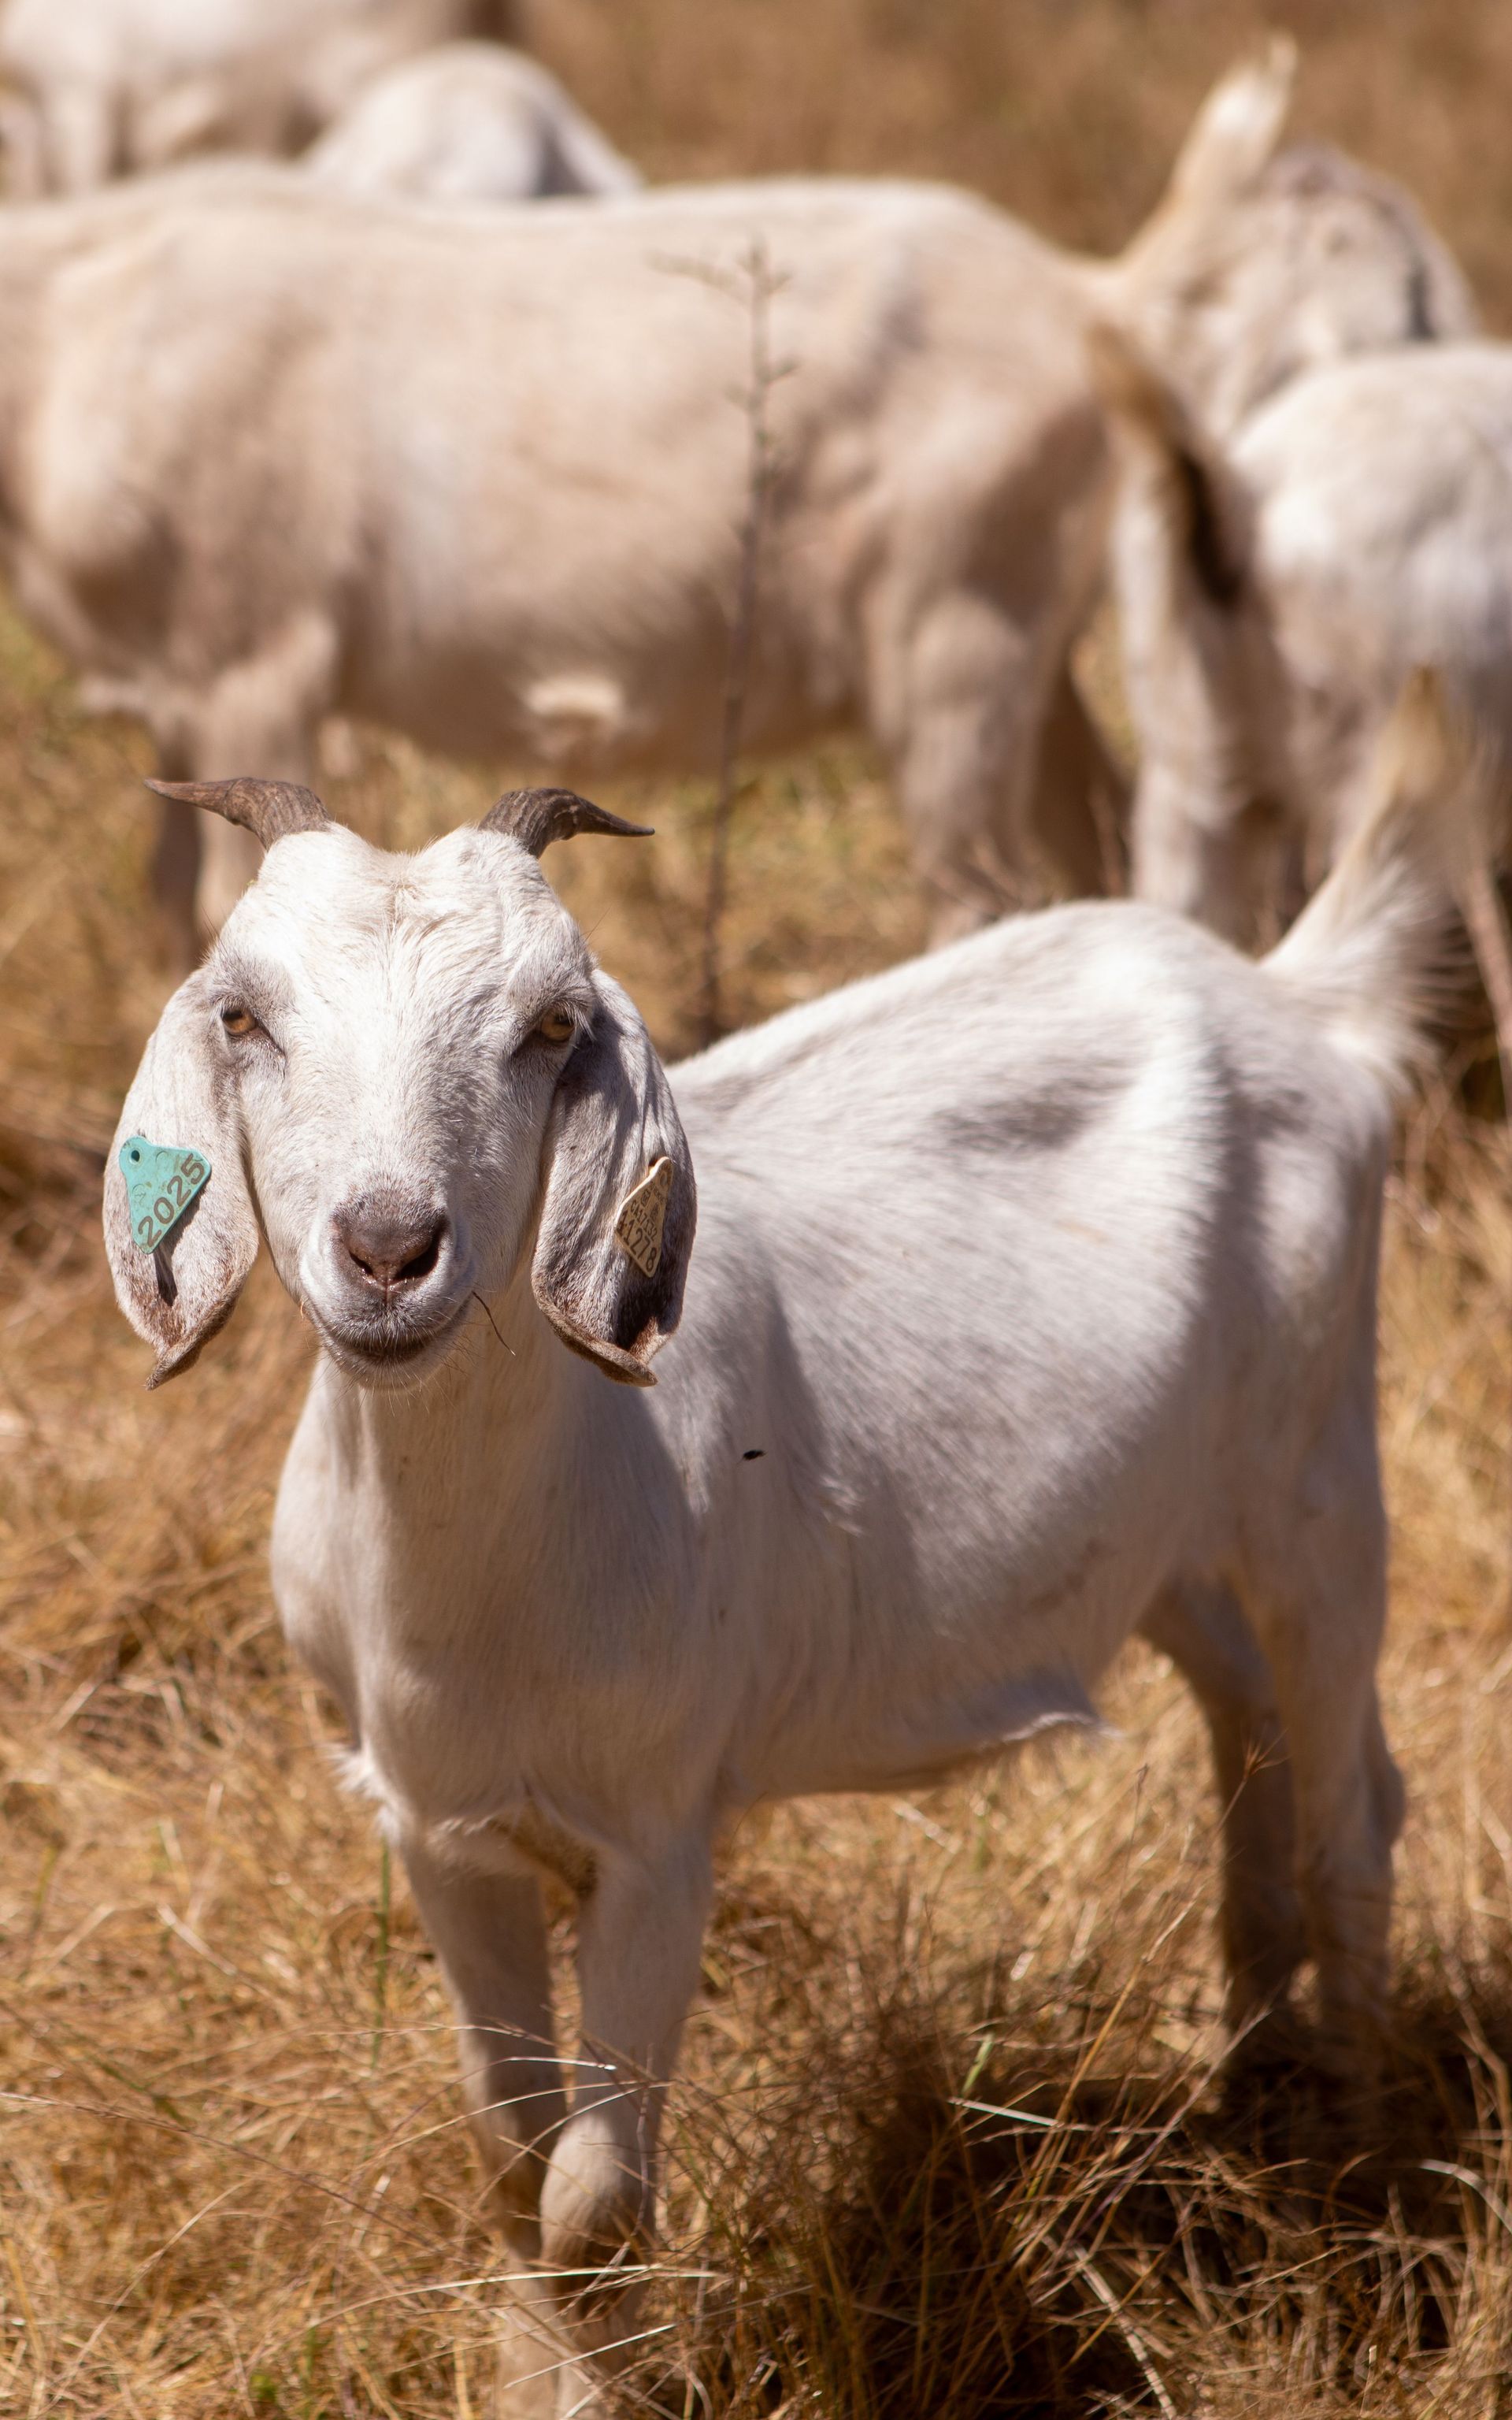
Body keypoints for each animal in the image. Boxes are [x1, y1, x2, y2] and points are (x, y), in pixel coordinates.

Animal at [104, 680, 1479, 2411]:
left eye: (549, 1028)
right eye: (244, 1018)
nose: (390, 1246)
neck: (476, 1577)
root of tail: (1293, 996)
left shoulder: (658, 1838)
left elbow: (593, 2204)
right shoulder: (437, 1829)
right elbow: (512, 2160)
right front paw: (523, 2375)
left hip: (1318, 1469)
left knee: (1359, 1806)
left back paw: (1353, 2197)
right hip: (1173, 1536)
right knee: (1257, 1742)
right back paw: (1248, 2085)